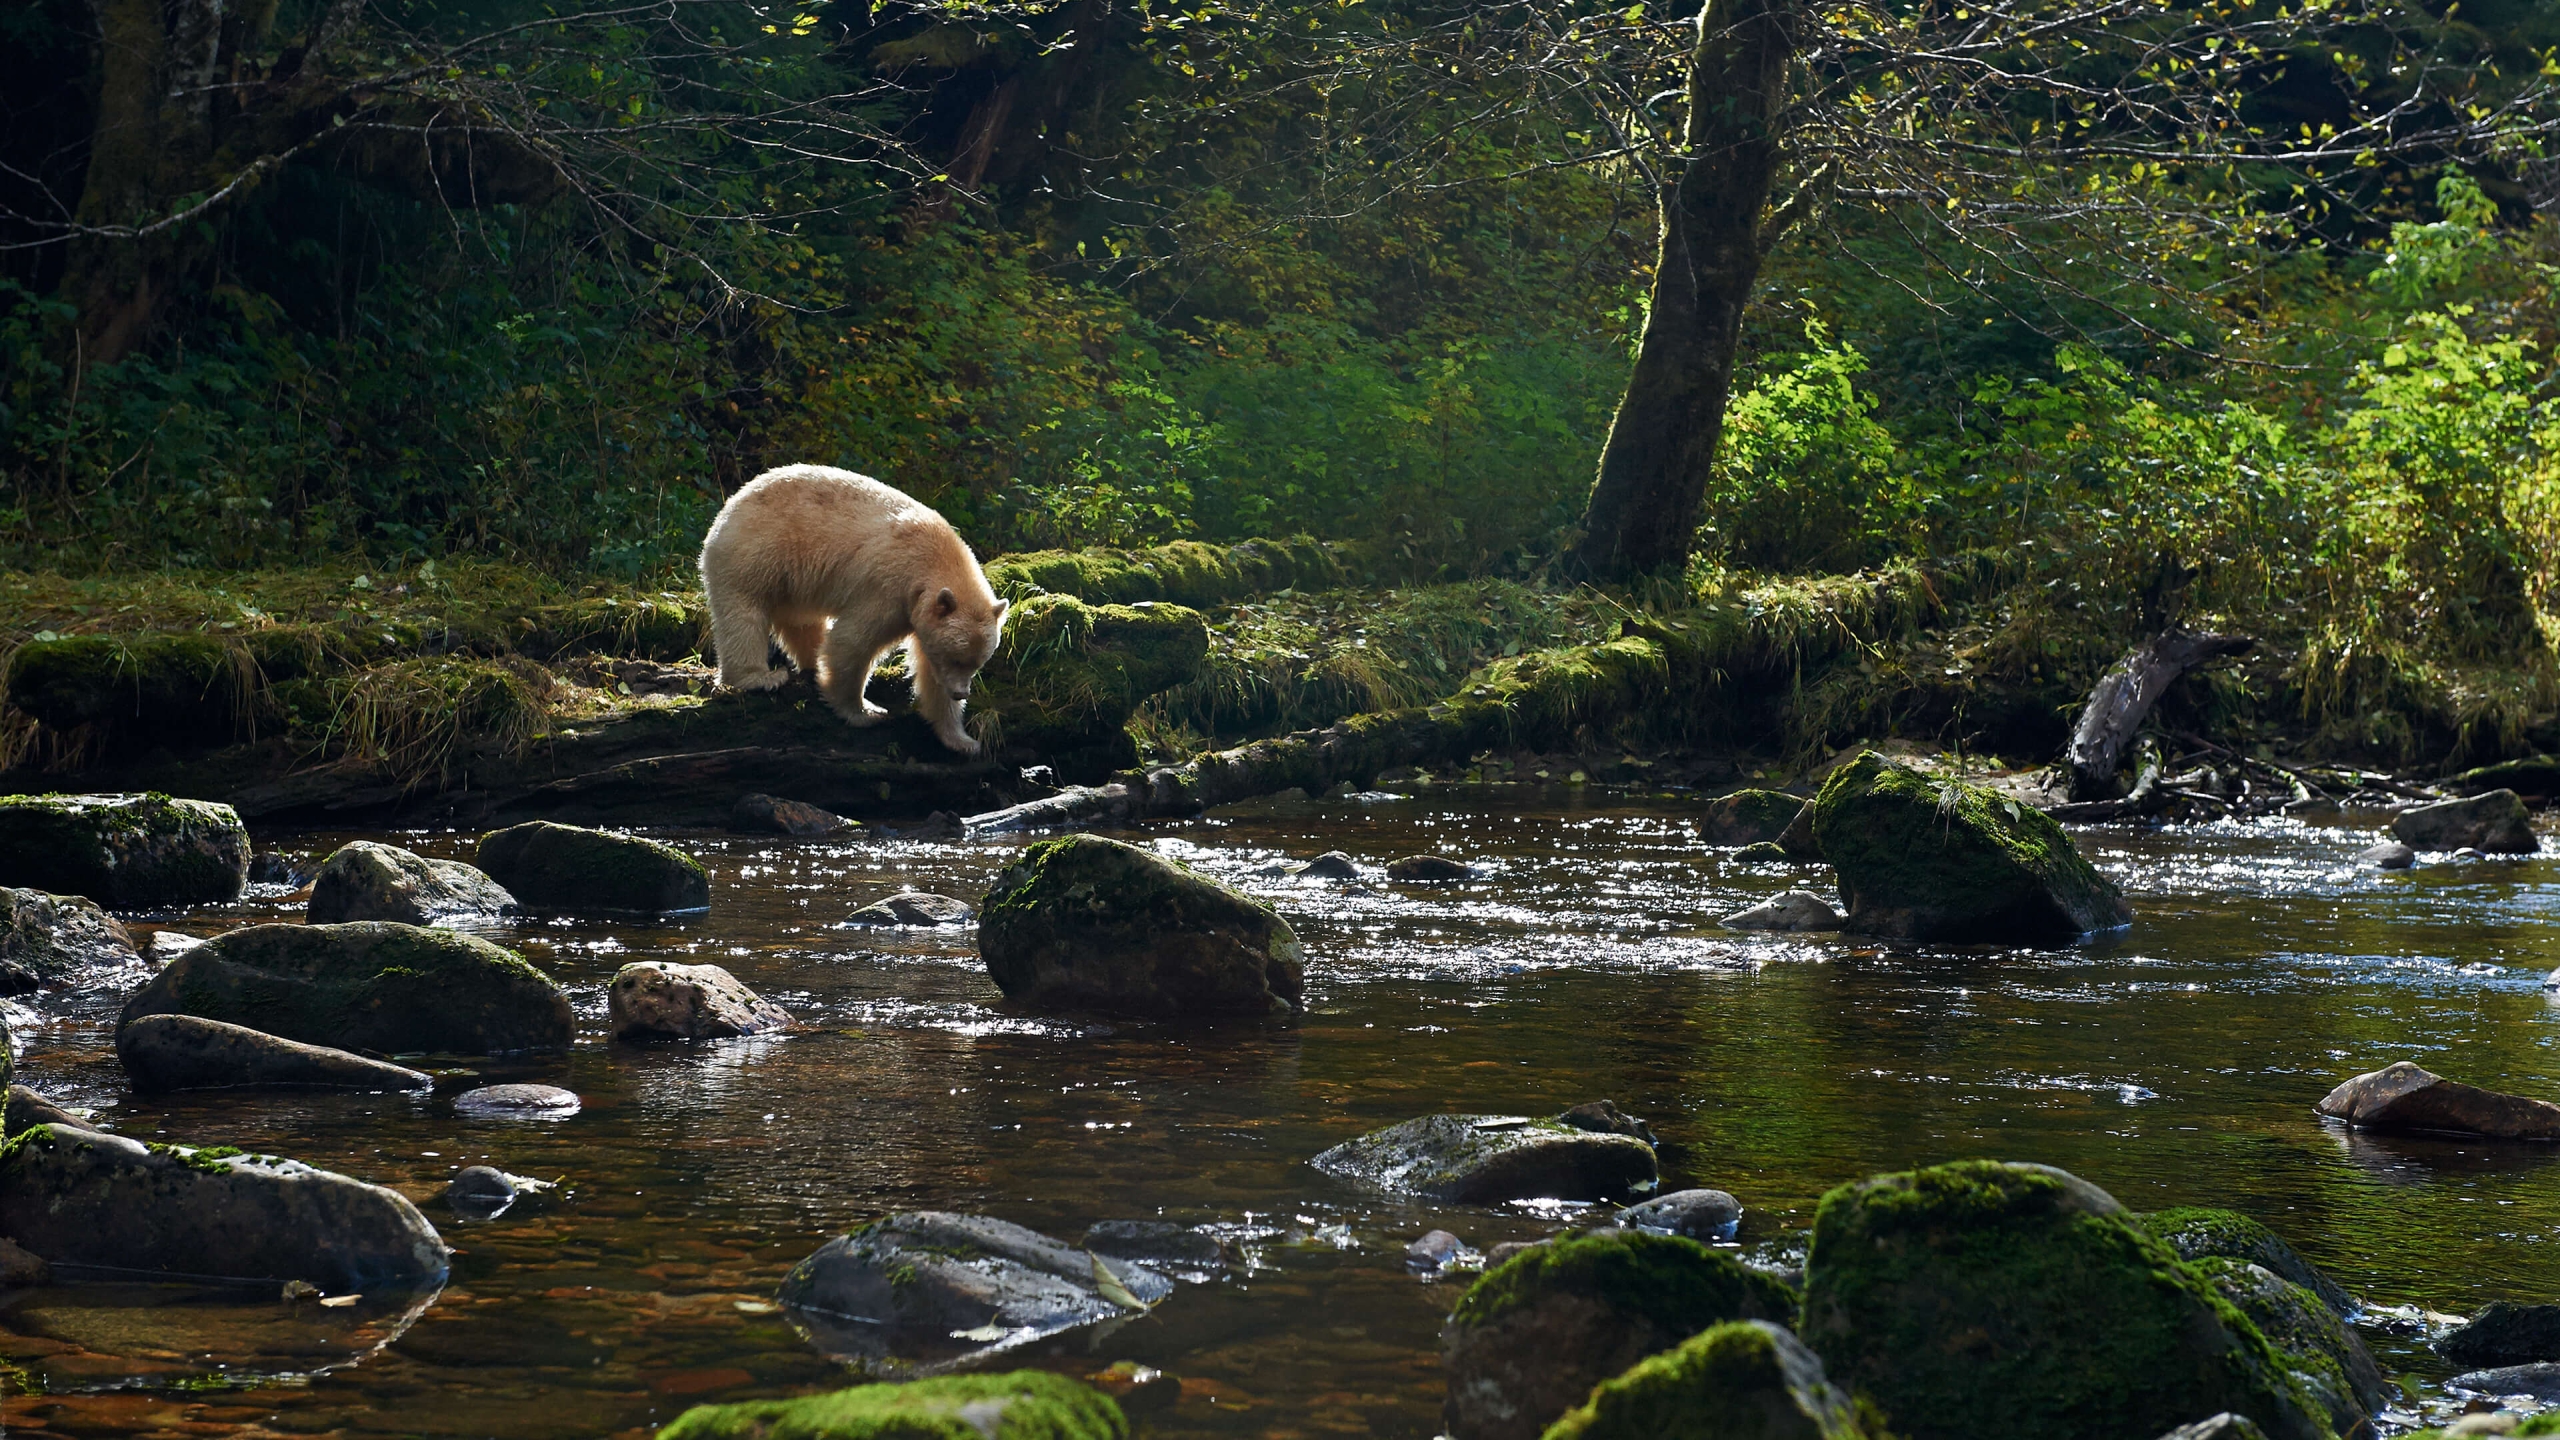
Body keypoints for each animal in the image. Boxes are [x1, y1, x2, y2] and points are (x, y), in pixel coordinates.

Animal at [698, 464, 1009, 756]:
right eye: (956, 658)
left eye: (978, 663)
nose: (960, 693)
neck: (937, 557)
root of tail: (732, 502)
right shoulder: (888, 588)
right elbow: (851, 642)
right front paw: (866, 712)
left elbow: (929, 674)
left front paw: (963, 741)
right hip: (756, 550)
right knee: (743, 614)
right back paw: (760, 678)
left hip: (793, 577)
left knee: (802, 621)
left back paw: (809, 661)